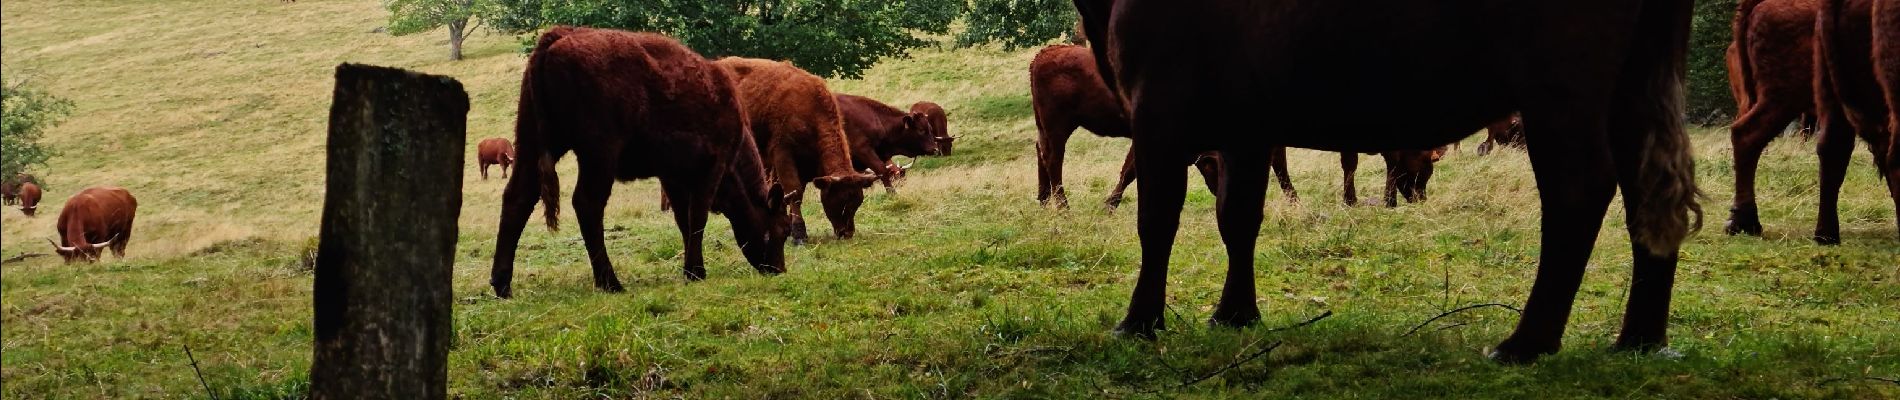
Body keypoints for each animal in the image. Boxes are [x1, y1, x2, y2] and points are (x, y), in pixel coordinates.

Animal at [490, 27, 794, 297]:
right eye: (781, 230)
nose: (779, 270)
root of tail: (558, 36)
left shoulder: (673, 177)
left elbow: (684, 220)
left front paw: (690, 269)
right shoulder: (711, 168)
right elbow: (697, 218)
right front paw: (696, 271)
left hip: (533, 142)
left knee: (518, 197)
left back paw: (502, 284)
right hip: (599, 154)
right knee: (587, 203)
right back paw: (610, 282)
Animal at [714, 56, 881, 244]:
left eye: (858, 201)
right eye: (841, 200)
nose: (847, 233)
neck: (811, 109)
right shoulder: (783, 155)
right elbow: (794, 193)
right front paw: (799, 234)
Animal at [1079, 0, 1702, 362]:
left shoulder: (1160, 105)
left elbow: (1157, 220)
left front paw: (1139, 323)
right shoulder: (1245, 125)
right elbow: (1239, 218)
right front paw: (1235, 315)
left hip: (1559, 86)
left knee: (1579, 188)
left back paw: (1527, 343)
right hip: (1638, 76)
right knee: (1651, 191)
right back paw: (1640, 339)